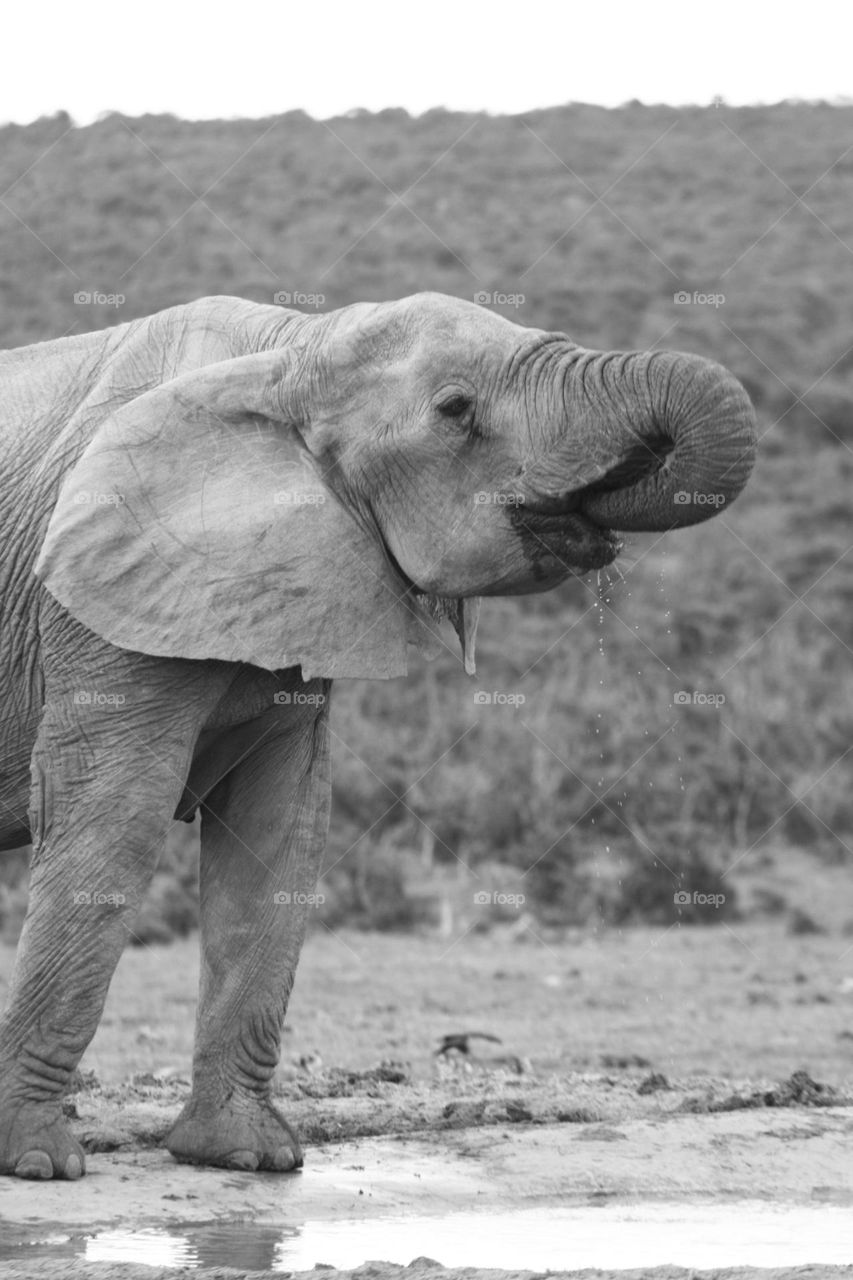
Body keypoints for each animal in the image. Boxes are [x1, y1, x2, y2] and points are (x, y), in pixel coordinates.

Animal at [0, 292, 756, 1179]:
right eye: (455, 410)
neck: (294, 348)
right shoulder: (95, 605)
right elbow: (113, 823)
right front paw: (38, 1165)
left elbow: (278, 833)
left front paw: (248, 1156)